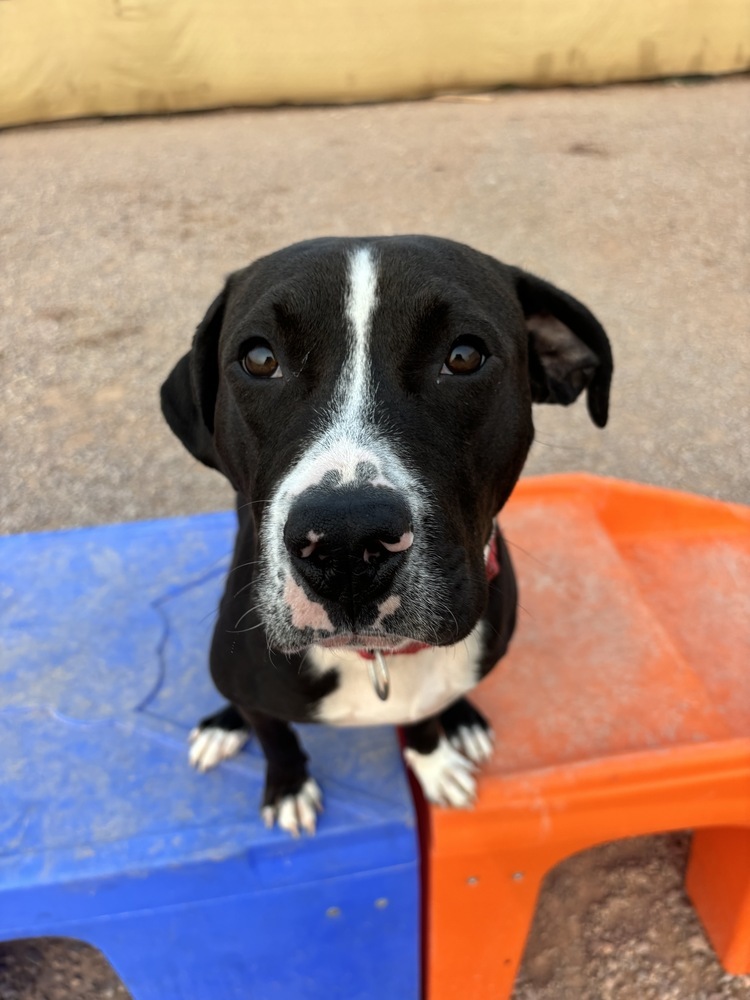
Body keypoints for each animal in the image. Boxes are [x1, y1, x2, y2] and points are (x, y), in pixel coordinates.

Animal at [162, 234, 612, 836]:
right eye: (259, 359)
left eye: (464, 356)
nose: (347, 542)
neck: (374, 658)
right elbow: (274, 734)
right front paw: (288, 786)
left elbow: (423, 719)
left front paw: (434, 759)